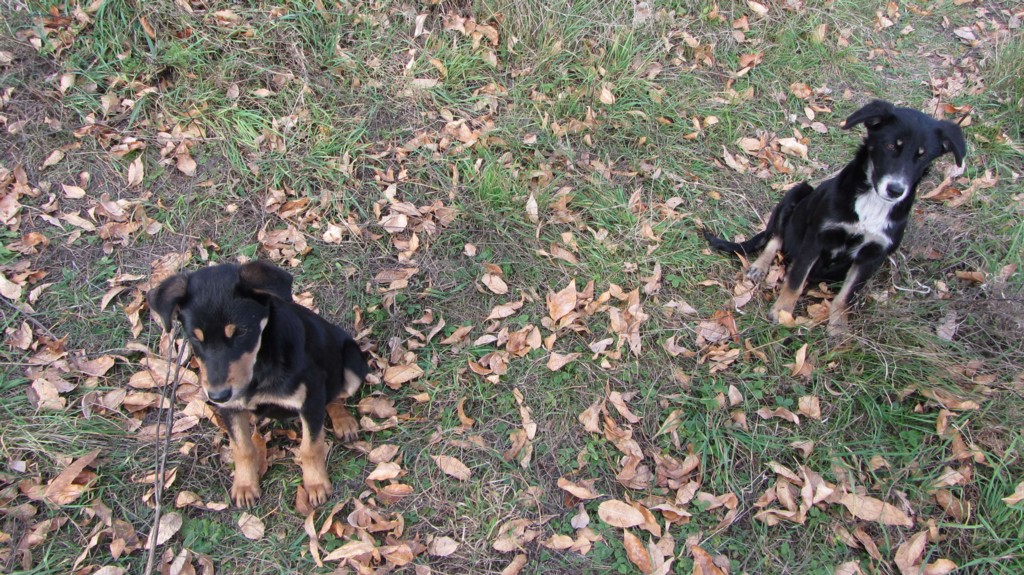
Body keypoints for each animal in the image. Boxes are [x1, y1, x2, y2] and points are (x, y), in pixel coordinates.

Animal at [148, 260, 368, 506]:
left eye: (241, 332)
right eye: (195, 337)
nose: (218, 395)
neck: (259, 367)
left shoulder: (311, 396)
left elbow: (311, 447)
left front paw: (316, 484)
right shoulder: (230, 408)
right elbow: (242, 448)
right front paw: (245, 485)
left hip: (352, 363)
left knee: (335, 396)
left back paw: (344, 422)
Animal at [704, 100, 966, 333]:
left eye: (922, 156)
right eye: (891, 146)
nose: (895, 189)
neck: (871, 201)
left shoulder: (872, 256)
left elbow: (845, 296)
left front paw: (838, 328)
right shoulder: (817, 236)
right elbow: (795, 280)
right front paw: (782, 311)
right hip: (797, 191)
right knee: (775, 238)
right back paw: (759, 267)